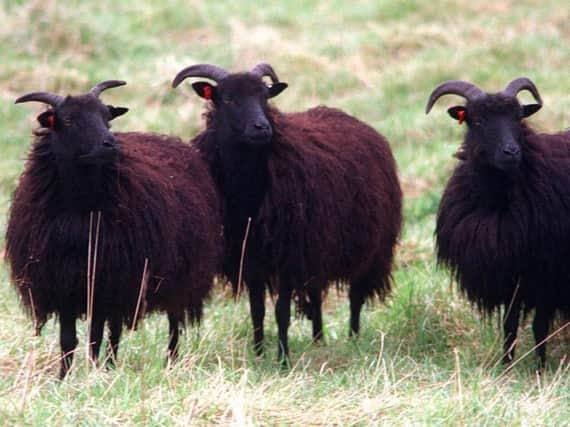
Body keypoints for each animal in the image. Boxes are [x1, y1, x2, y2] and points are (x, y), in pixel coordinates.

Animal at [6, 81, 220, 378]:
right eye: (68, 120)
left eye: (107, 117)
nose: (110, 144)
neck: (80, 207)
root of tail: (172, 141)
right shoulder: (63, 284)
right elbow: (68, 340)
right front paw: (64, 377)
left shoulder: (104, 283)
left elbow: (95, 336)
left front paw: (93, 373)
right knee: (116, 331)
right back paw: (111, 365)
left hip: (178, 277)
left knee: (172, 325)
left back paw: (169, 362)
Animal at [171, 63, 402, 364]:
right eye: (228, 98)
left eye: (265, 97)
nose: (262, 128)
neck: (247, 189)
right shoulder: (252, 258)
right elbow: (256, 310)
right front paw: (258, 354)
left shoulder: (288, 257)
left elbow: (282, 311)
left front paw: (283, 360)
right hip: (318, 247)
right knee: (316, 295)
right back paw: (318, 340)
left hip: (370, 246)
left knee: (355, 296)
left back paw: (353, 339)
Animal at [424, 77, 568, 368]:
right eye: (477, 120)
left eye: (517, 117)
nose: (511, 152)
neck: (497, 199)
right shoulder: (506, 272)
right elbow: (509, 325)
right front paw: (506, 366)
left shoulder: (546, 273)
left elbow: (539, 326)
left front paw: (540, 369)